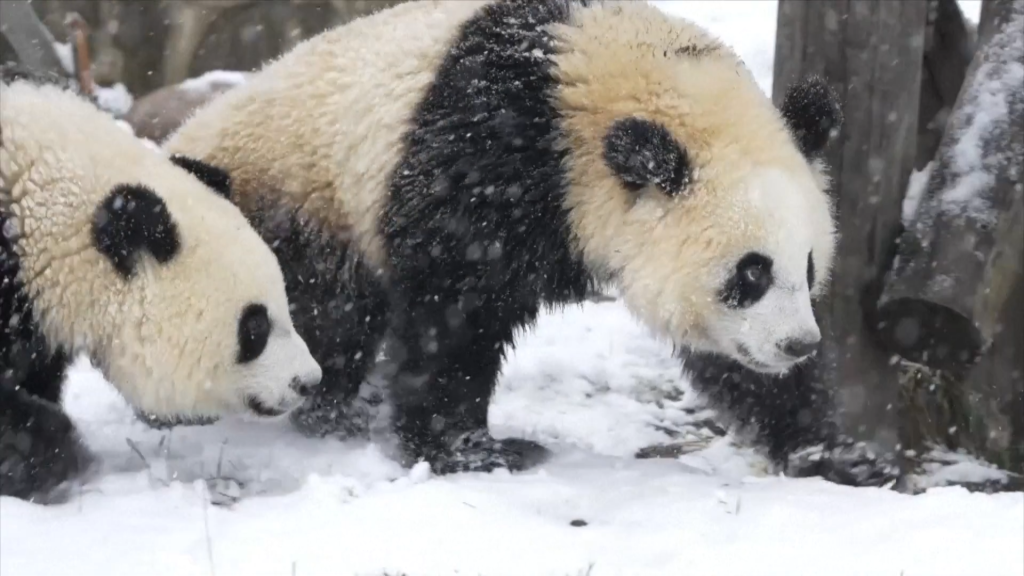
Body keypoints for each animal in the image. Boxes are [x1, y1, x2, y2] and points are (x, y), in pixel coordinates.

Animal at [163, 0, 884, 479]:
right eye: (750, 273)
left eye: (807, 266)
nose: (798, 344)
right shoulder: (487, 159)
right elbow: (454, 313)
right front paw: (472, 449)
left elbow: (730, 362)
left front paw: (835, 454)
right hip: (294, 203)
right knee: (323, 315)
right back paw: (327, 407)